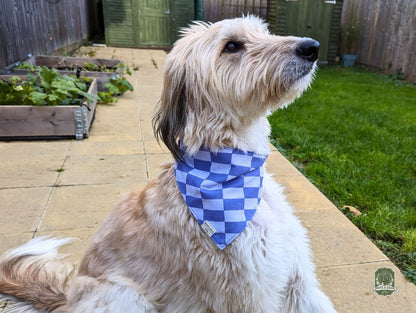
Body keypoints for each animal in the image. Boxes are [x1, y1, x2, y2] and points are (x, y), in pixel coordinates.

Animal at [0, 17, 338, 312]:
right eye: (231, 46)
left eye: (264, 32)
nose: (312, 47)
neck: (233, 172)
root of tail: (68, 297)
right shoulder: (250, 293)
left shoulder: (297, 280)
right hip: (125, 295)